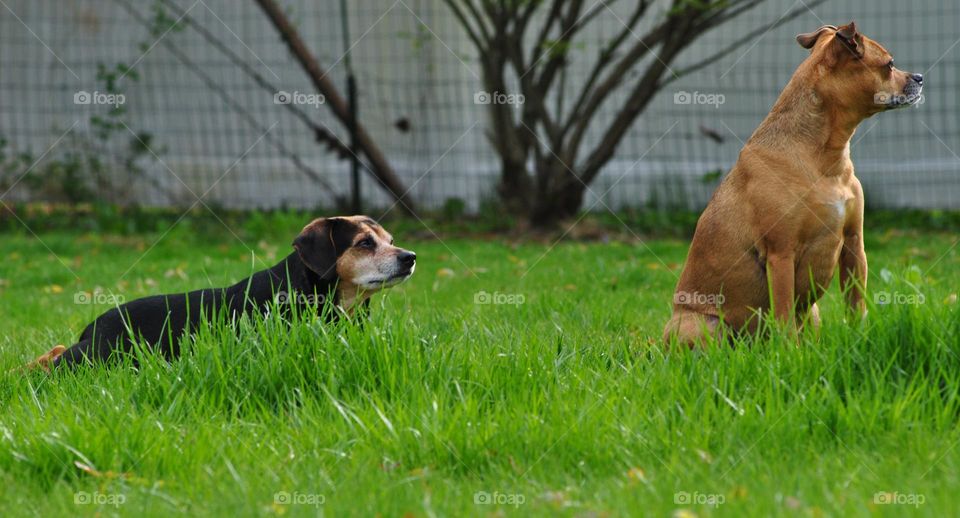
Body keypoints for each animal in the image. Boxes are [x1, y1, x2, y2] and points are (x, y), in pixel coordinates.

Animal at [668, 22, 924, 348]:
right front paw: (789, 352)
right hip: (700, 325)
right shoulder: (781, 255)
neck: (824, 159)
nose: (920, 77)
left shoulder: (854, 244)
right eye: (889, 64)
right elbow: (784, 314)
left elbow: (856, 304)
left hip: (813, 312)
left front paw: (858, 339)